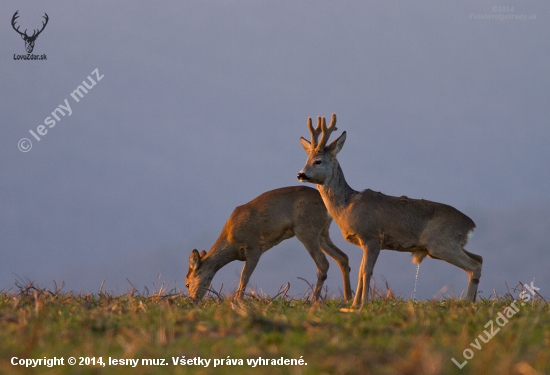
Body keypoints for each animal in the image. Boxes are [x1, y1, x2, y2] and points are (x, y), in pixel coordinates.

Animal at [187, 187, 354, 302]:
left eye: (187, 283)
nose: (193, 300)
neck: (230, 240)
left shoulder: (254, 246)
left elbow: (245, 275)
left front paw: (238, 300)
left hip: (306, 230)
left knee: (323, 263)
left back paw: (313, 301)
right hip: (323, 233)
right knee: (343, 257)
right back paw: (348, 298)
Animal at [298, 114, 484, 308]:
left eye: (318, 161)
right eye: (306, 160)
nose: (300, 174)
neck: (346, 206)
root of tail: (471, 225)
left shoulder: (372, 236)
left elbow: (366, 271)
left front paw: (363, 304)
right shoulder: (364, 241)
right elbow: (360, 271)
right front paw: (355, 305)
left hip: (440, 243)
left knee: (474, 266)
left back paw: (468, 302)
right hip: (446, 246)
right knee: (479, 258)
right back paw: (472, 300)